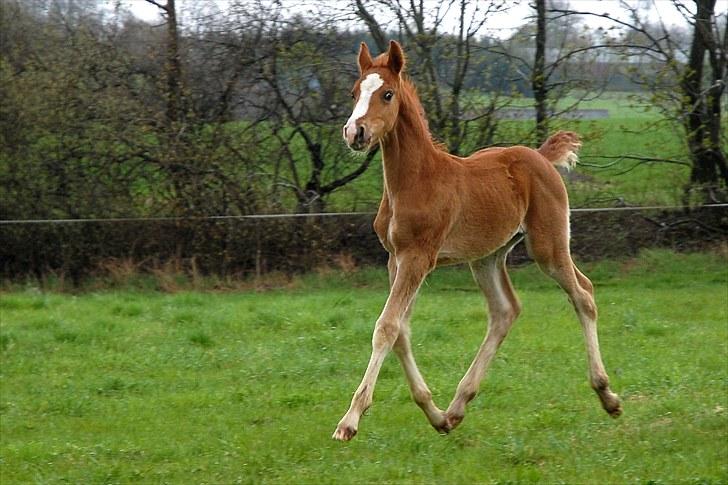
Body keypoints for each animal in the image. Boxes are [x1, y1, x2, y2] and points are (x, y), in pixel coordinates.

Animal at [332, 42, 624, 442]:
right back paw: (456, 407)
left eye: (387, 94)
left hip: (547, 245)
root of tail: (540, 156)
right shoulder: (396, 258)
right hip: (487, 256)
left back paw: (606, 394)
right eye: (353, 93)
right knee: (505, 310)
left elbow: (387, 327)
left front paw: (350, 420)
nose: (354, 132)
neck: (416, 180)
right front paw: (435, 415)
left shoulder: (418, 257)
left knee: (584, 293)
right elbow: (401, 330)